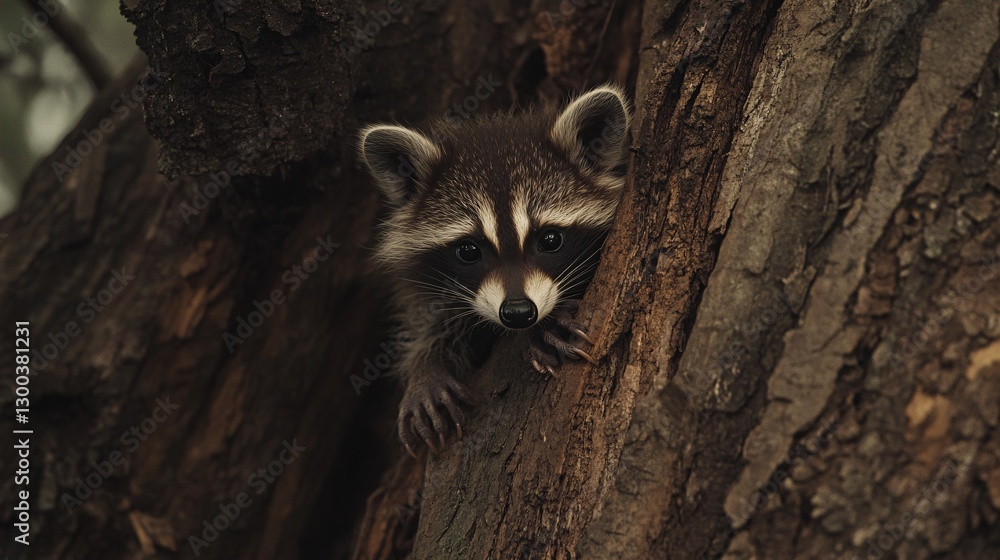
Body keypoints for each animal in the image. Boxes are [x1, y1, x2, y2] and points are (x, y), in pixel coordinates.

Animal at [359, 85, 631, 456]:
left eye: (550, 239)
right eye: (469, 251)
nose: (518, 312)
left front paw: (547, 324)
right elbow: (431, 323)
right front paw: (426, 367)